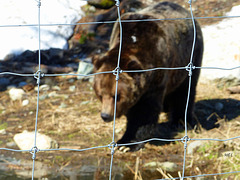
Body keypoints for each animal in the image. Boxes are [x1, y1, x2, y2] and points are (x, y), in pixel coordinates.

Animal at [93, 1, 203, 151]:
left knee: (185, 90)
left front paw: (127, 143)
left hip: (190, 55)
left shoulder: (156, 74)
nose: (105, 116)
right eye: (100, 94)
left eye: (116, 96)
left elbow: (144, 112)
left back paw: (180, 121)